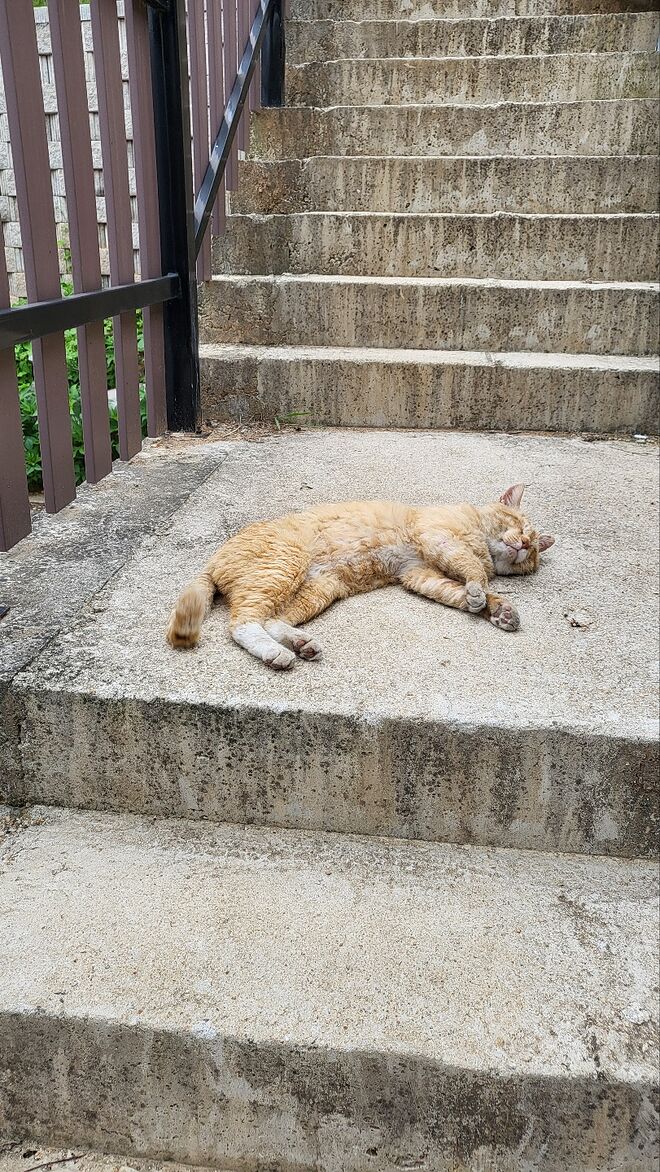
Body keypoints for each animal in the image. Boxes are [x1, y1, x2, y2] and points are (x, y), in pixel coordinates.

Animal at [166, 483, 554, 669]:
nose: (524, 544)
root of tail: (213, 561)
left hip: (319, 588)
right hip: (285, 566)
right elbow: (472, 570)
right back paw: (277, 654)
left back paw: (301, 644)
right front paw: (480, 592)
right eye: (520, 526)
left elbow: (455, 590)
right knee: (243, 623)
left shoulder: (418, 574)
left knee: (273, 619)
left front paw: (498, 610)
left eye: (533, 552)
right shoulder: (438, 536)